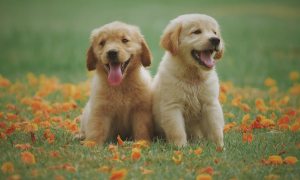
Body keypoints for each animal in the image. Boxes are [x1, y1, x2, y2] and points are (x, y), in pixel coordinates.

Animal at [152, 13, 225, 148]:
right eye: (196, 32)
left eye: (215, 32)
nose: (216, 40)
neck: (193, 76)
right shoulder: (172, 106)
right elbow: (177, 130)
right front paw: (180, 147)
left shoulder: (210, 104)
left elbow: (215, 128)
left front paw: (219, 147)